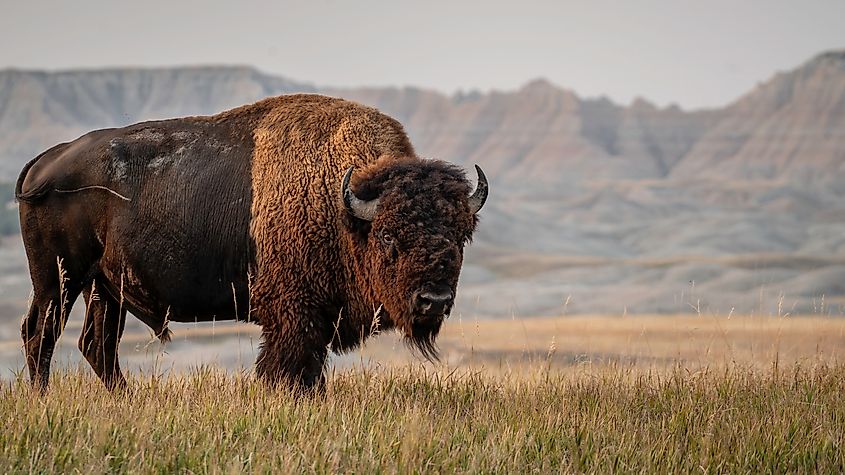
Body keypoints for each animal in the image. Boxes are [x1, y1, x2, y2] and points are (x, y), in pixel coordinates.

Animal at [14, 93, 488, 390]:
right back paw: (44, 400)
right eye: (388, 234)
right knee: (42, 334)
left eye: (460, 235)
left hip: (104, 287)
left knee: (97, 345)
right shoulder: (294, 317)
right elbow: (291, 371)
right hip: (58, 280)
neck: (343, 205)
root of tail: (46, 160)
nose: (434, 300)